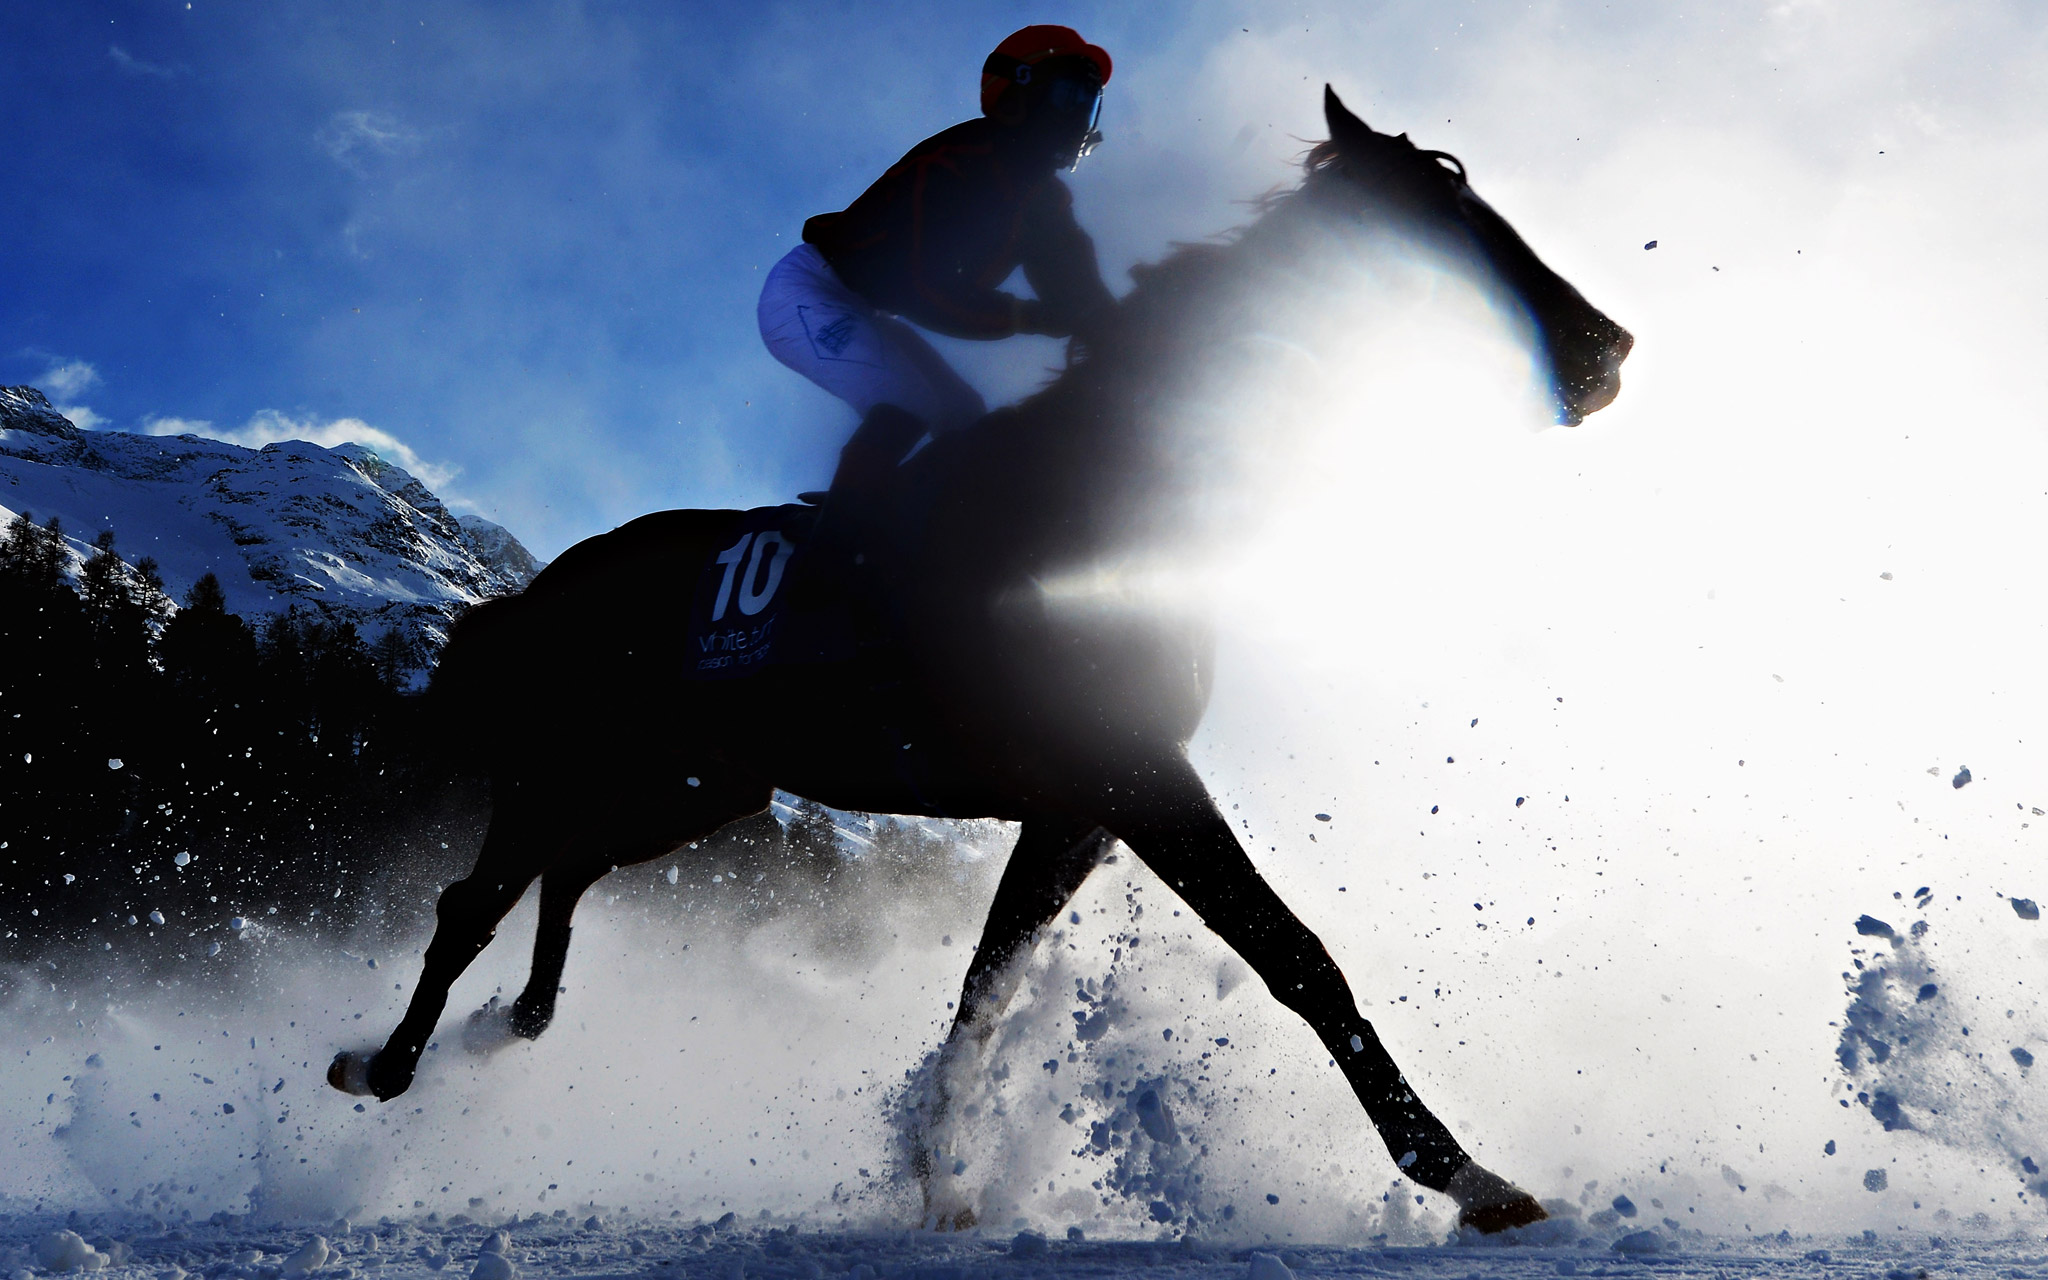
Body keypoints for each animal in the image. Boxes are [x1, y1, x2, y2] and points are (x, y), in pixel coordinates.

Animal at [331, 90, 1630, 1228]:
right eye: (1440, 215)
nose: (1603, 345)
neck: (1114, 488)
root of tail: (538, 588)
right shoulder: (1130, 772)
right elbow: (1296, 957)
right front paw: (1467, 1176)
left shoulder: (1076, 807)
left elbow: (985, 985)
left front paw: (937, 1174)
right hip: (574, 759)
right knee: (473, 898)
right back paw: (384, 1062)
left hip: (697, 783)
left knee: (567, 869)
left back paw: (504, 1025)